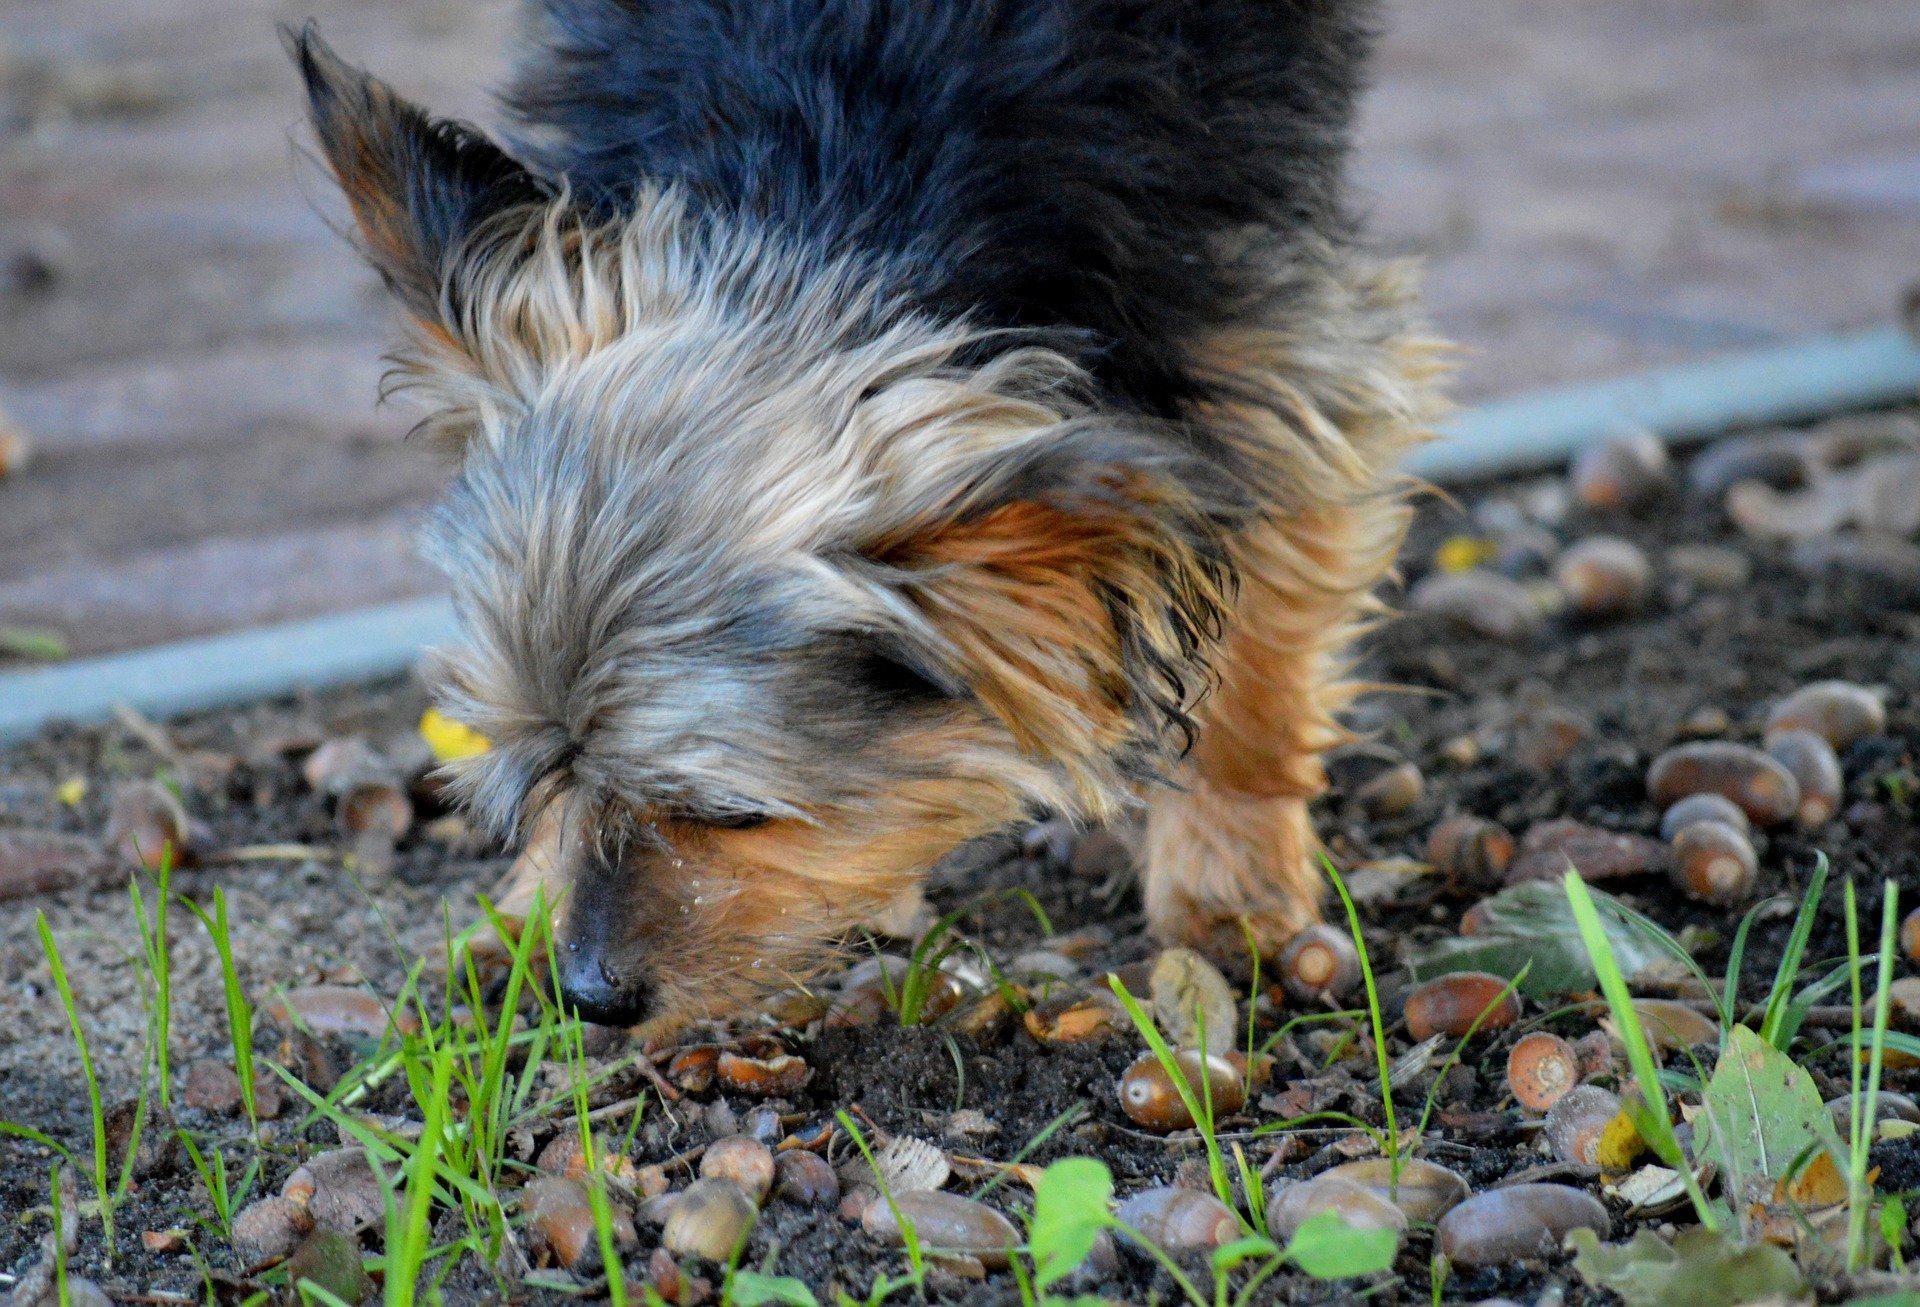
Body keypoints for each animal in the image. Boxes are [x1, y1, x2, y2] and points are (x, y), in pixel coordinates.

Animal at [291, 0, 1443, 1028]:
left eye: (732, 812)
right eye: (542, 767)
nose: (590, 997)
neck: (829, 183)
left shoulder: (1267, 350)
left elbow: (1256, 660)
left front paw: (1229, 882)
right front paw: (531, 900)